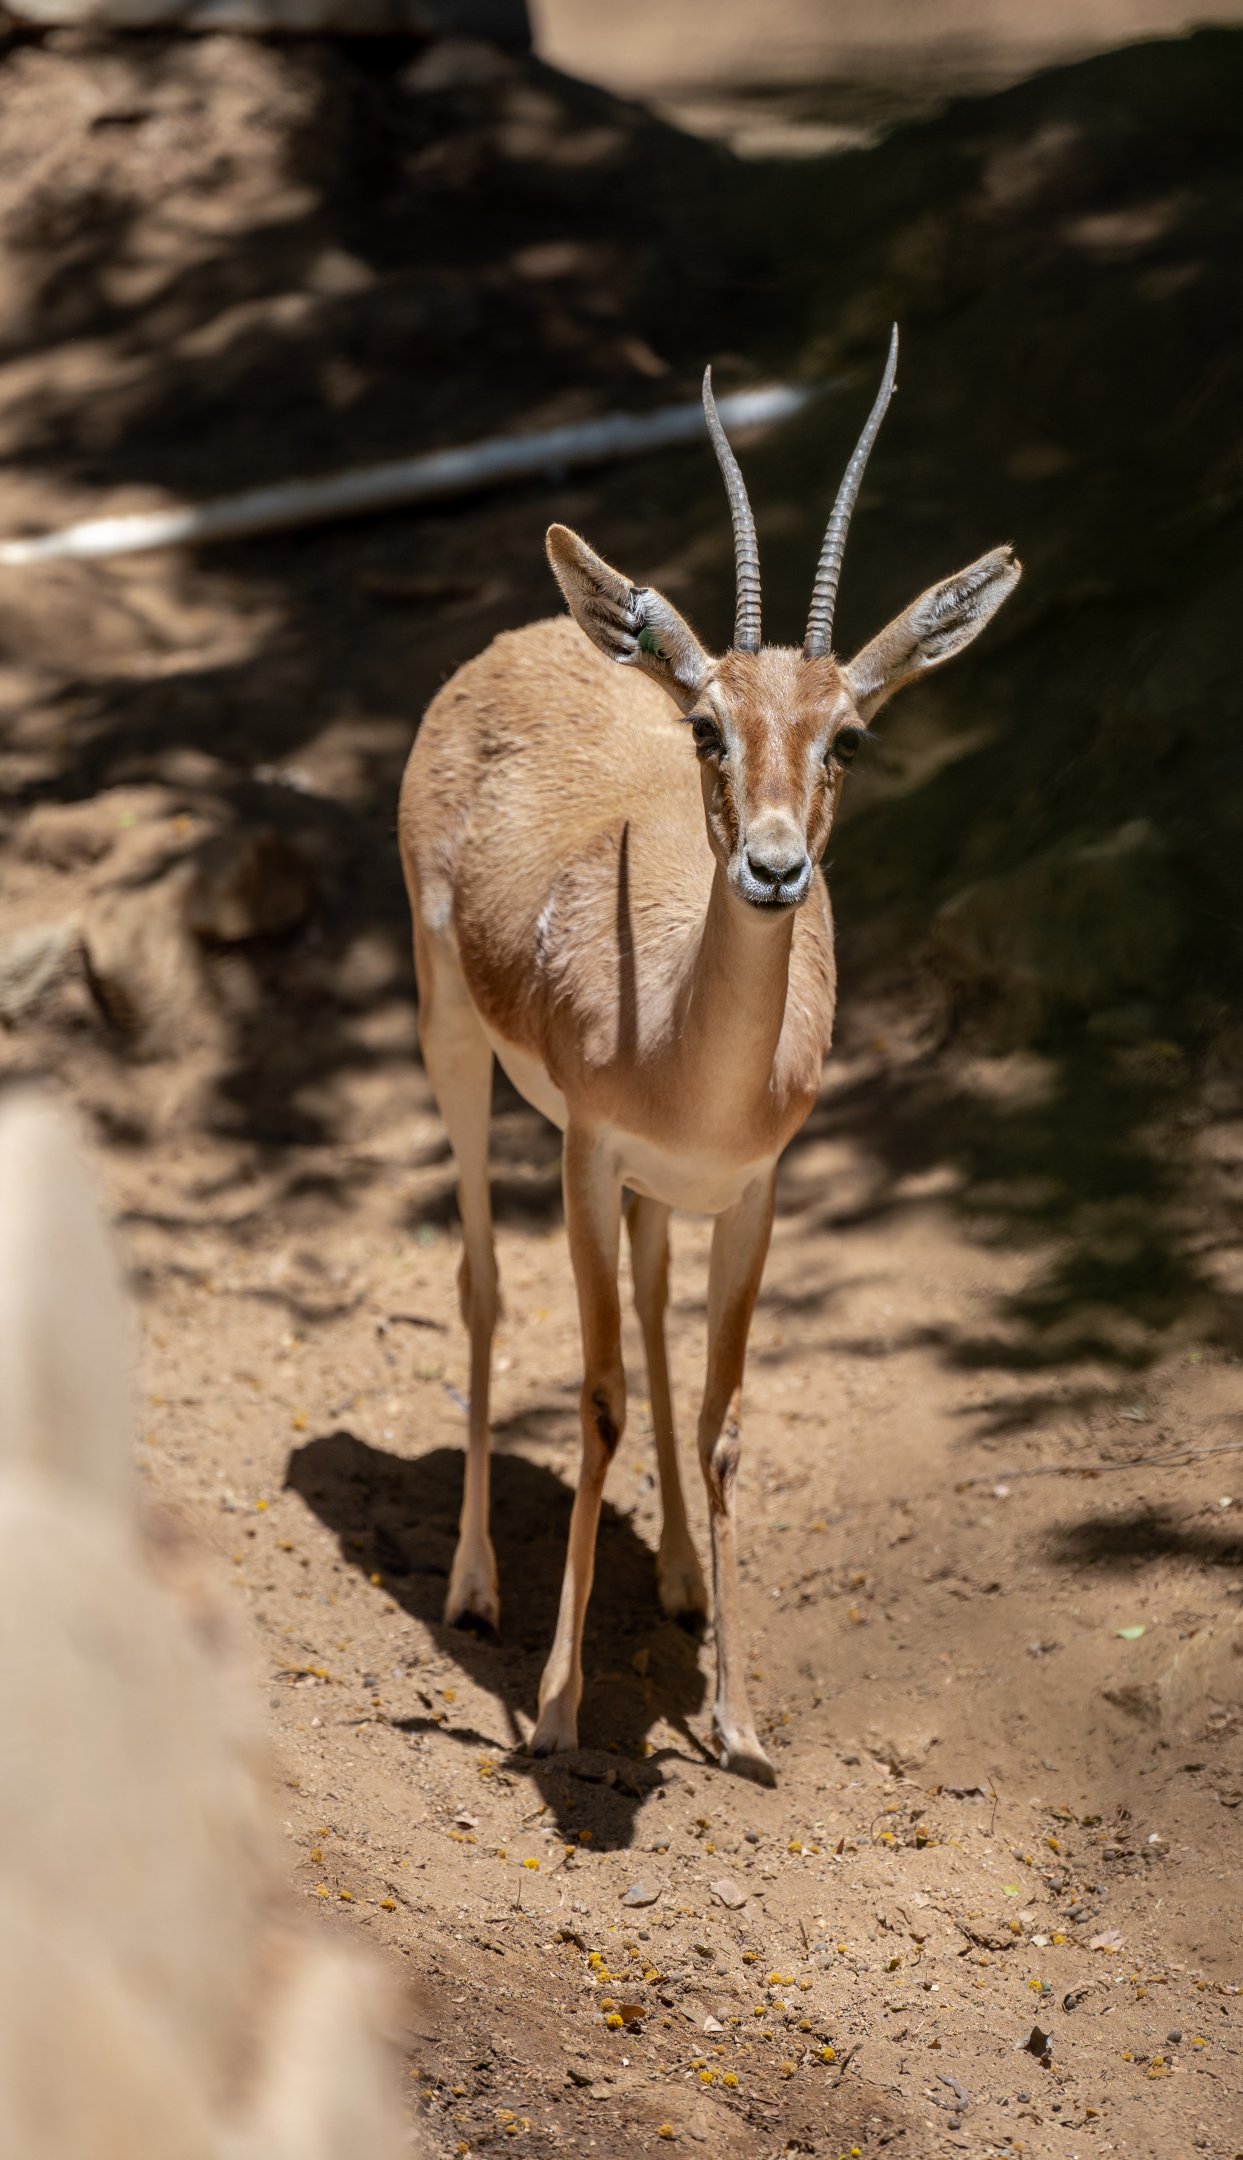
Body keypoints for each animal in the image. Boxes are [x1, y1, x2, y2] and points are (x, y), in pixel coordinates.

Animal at [399, 329, 1019, 1782]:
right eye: (705, 729)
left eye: (847, 736)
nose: (775, 867)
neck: (685, 1046)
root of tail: (520, 642)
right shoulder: (583, 1153)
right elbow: (596, 1397)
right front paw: (557, 1708)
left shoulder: (750, 1187)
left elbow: (721, 1414)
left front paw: (736, 1721)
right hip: (452, 1046)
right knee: (480, 1285)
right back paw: (473, 1588)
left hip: (651, 1189)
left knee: (649, 1311)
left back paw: (678, 1580)